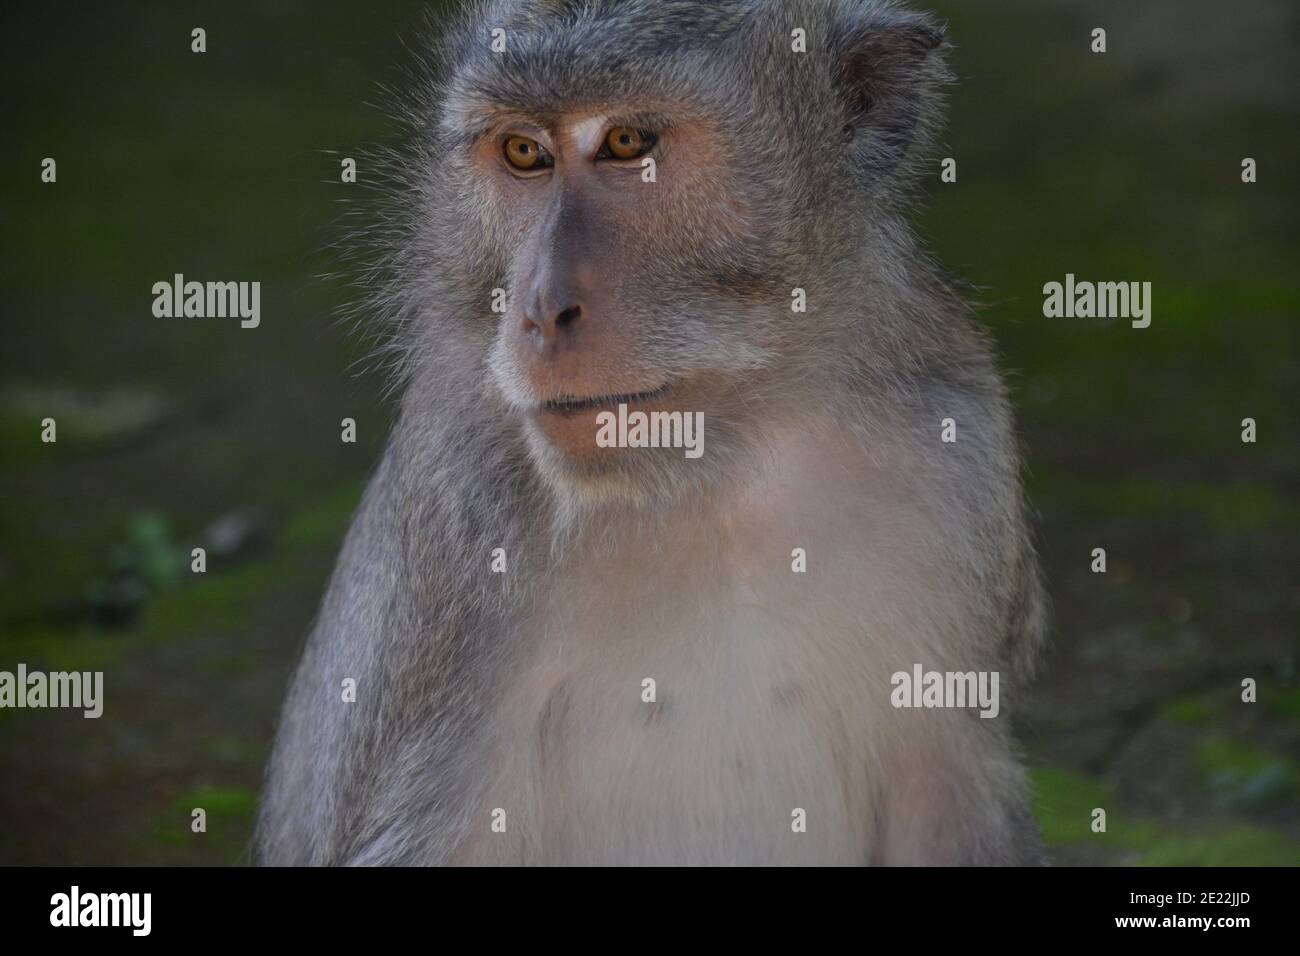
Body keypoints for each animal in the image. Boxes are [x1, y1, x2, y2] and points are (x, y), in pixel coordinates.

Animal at [253, 0, 1045, 868]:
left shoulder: (957, 449)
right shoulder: (454, 531)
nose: (540, 308)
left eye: (628, 143)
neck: (718, 465)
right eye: (524, 152)